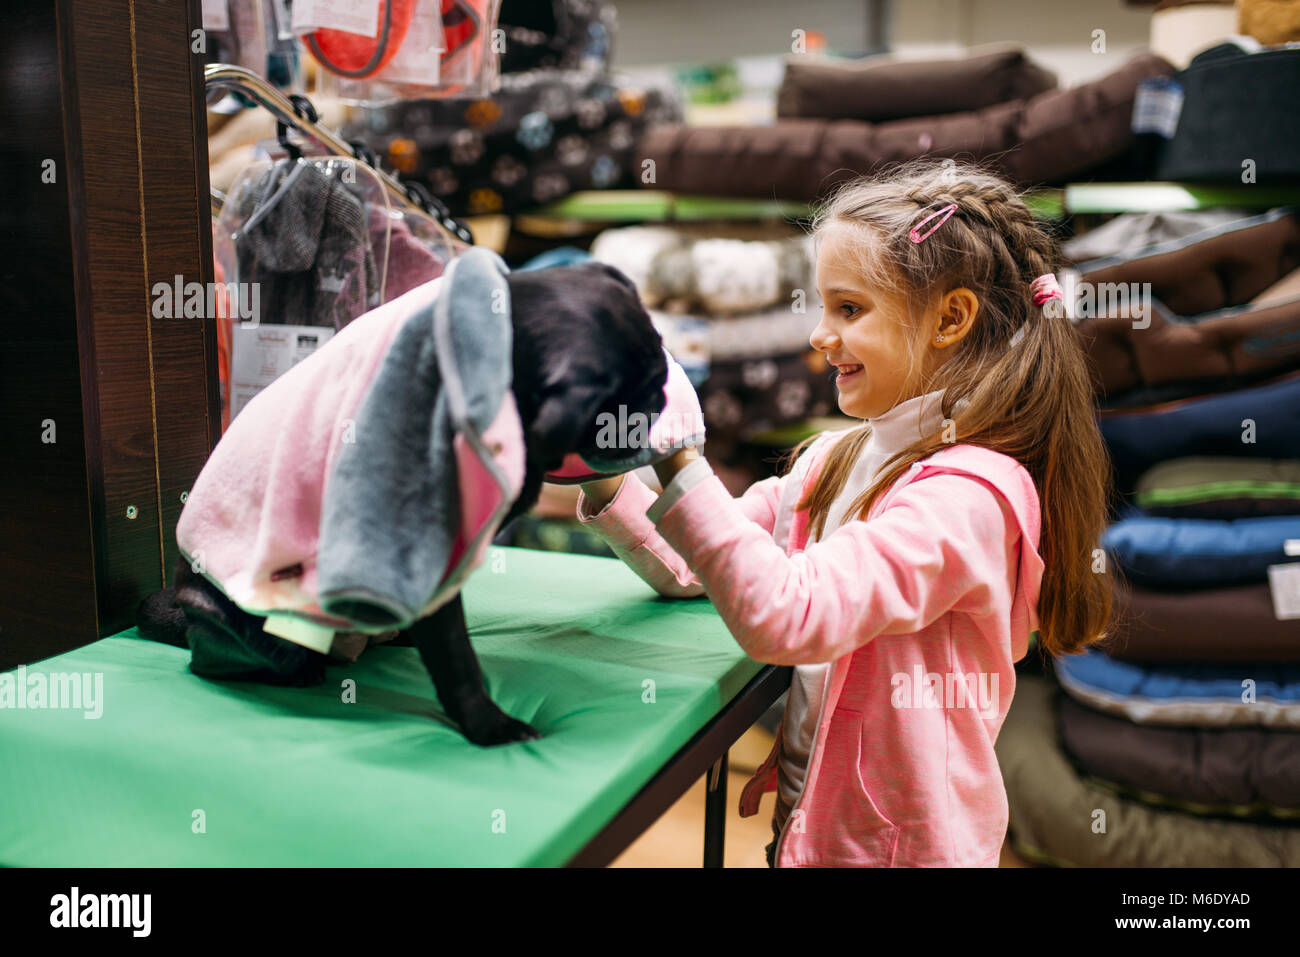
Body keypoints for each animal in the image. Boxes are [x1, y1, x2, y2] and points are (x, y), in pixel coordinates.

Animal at [139, 261, 670, 748]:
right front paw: (490, 726)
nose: (662, 402)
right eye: (627, 404)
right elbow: (457, 659)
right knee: (216, 662)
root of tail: (183, 607)